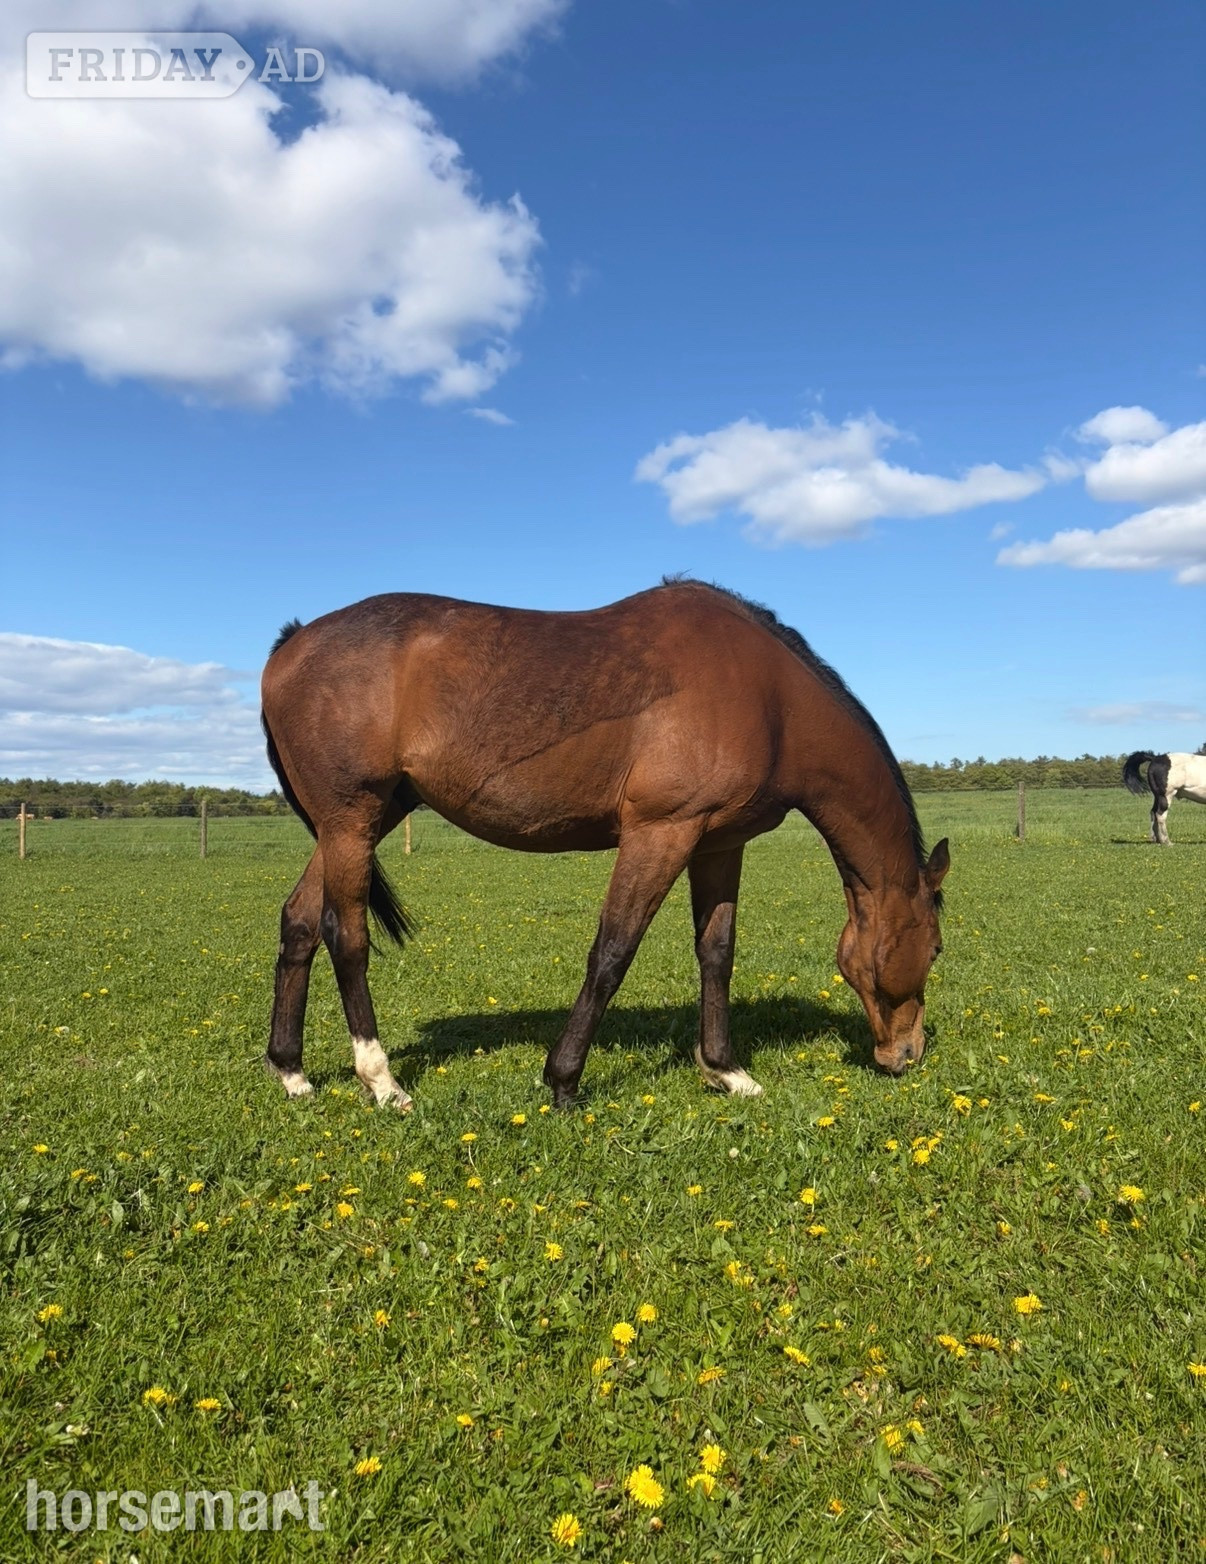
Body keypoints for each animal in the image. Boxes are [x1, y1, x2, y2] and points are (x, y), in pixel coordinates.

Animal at [259, 580, 949, 1112]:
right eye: (938, 948)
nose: (908, 1054)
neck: (771, 699)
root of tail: (293, 642)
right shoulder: (661, 832)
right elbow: (613, 952)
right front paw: (563, 1081)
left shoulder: (718, 845)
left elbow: (716, 953)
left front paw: (726, 1071)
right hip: (353, 821)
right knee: (345, 936)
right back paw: (382, 1082)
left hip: (355, 824)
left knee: (299, 922)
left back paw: (291, 1071)